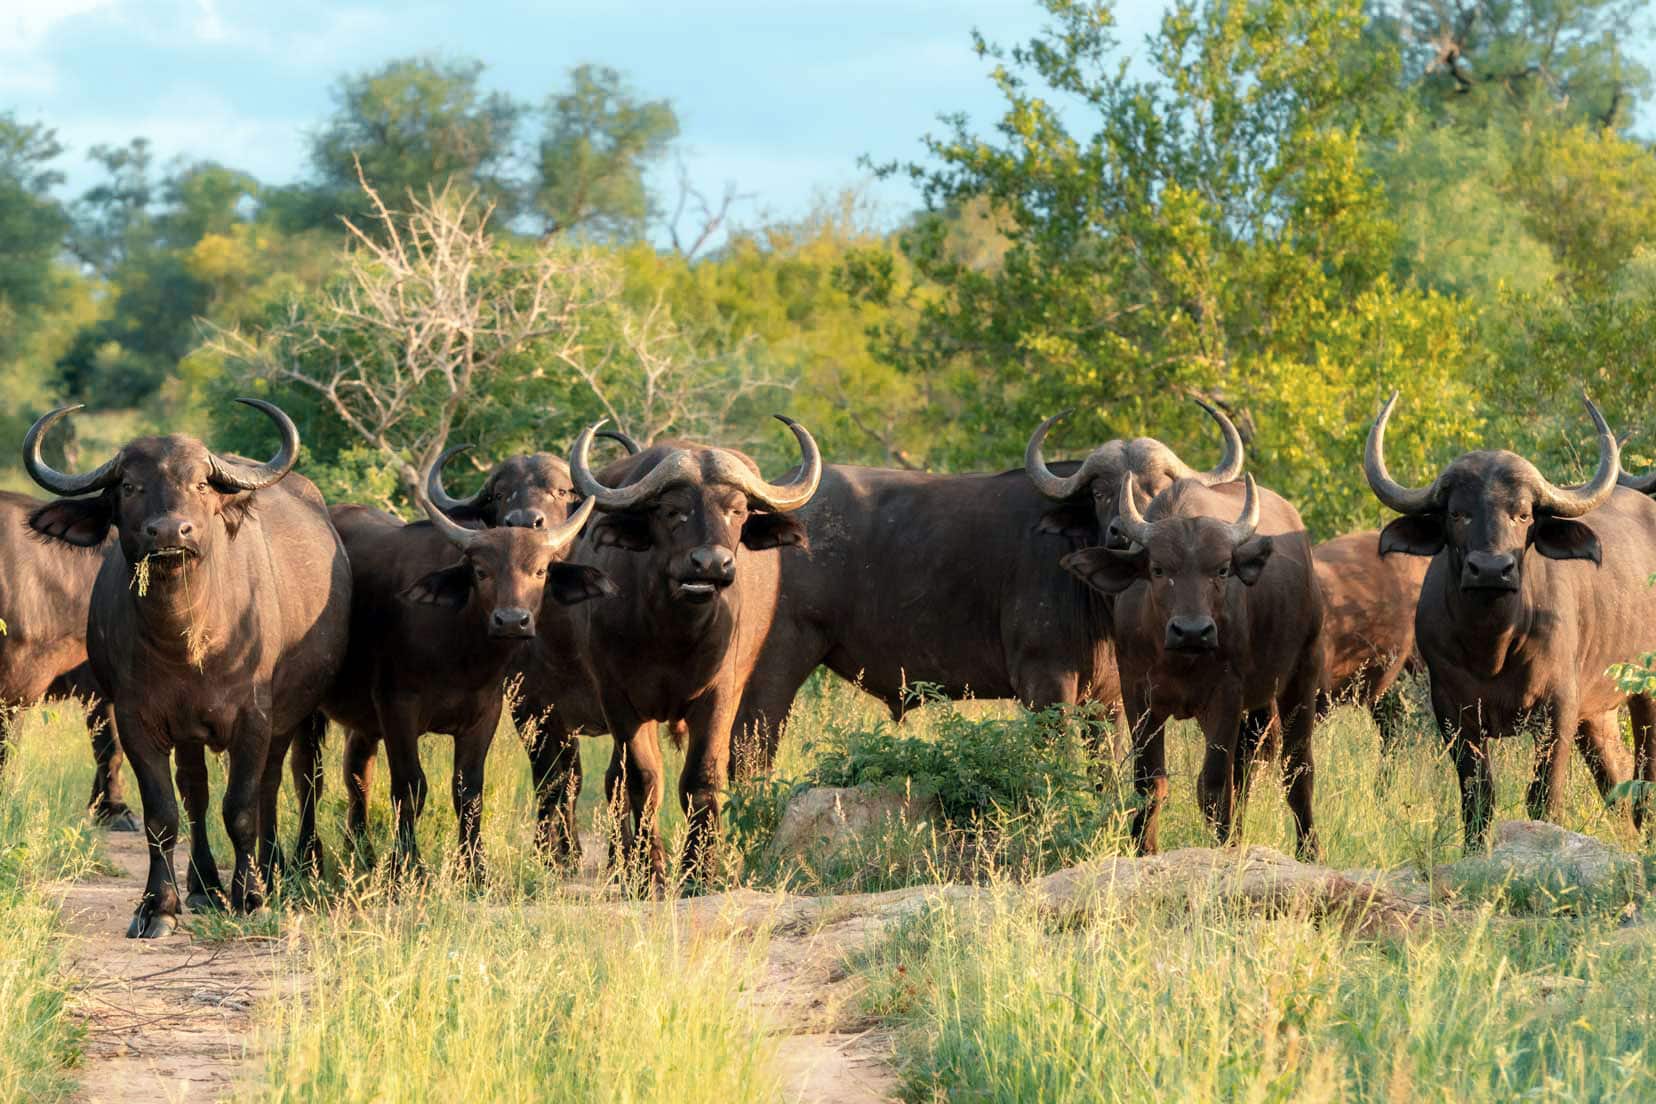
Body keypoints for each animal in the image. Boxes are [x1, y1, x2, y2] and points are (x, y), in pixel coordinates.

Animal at [23, 402, 349, 940]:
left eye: (200, 483)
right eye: (128, 486)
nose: (170, 533)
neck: (184, 643)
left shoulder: (254, 719)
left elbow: (241, 808)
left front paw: (250, 895)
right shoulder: (137, 721)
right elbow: (163, 814)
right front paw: (158, 906)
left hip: (294, 714)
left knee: (279, 783)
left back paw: (276, 869)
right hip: (192, 731)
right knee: (195, 792)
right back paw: (204, 886)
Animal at [312, 456, 612, 873]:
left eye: (540, 571)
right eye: (481, 572)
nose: (512, 621)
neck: (462, 655)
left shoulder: (485, 714)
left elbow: (468, 789)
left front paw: (474, 868)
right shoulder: (397, 707)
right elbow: (410, 785)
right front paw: (408, 866)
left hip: (362, 721)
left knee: (356, 773)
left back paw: (363, 853)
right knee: (309, 778)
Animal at [1066, 470, 1324, 860]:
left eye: (1222, 569)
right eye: (1158, 569)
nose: (1192, 631)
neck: (1180, 658)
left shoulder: (1226, 693)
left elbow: (1213, 784)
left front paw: (1224, 844)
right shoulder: (1137, 694)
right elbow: (1150, 781)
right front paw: (1144, 847)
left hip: (1302, 672)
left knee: (1297, 767)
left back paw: (1308, 850)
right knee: (1247, 764)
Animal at [1357, 390, 1656, 847]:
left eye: (1523, 514)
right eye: (1457, 513)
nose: (1491, 569)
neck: (1492, 646)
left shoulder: (1557, 710)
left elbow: (1543, 796)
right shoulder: (1453, 712)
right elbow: (1478, 796)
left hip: (1645, 694)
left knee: (1645, 772)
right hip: (1598, 713)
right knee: (1617, 777)